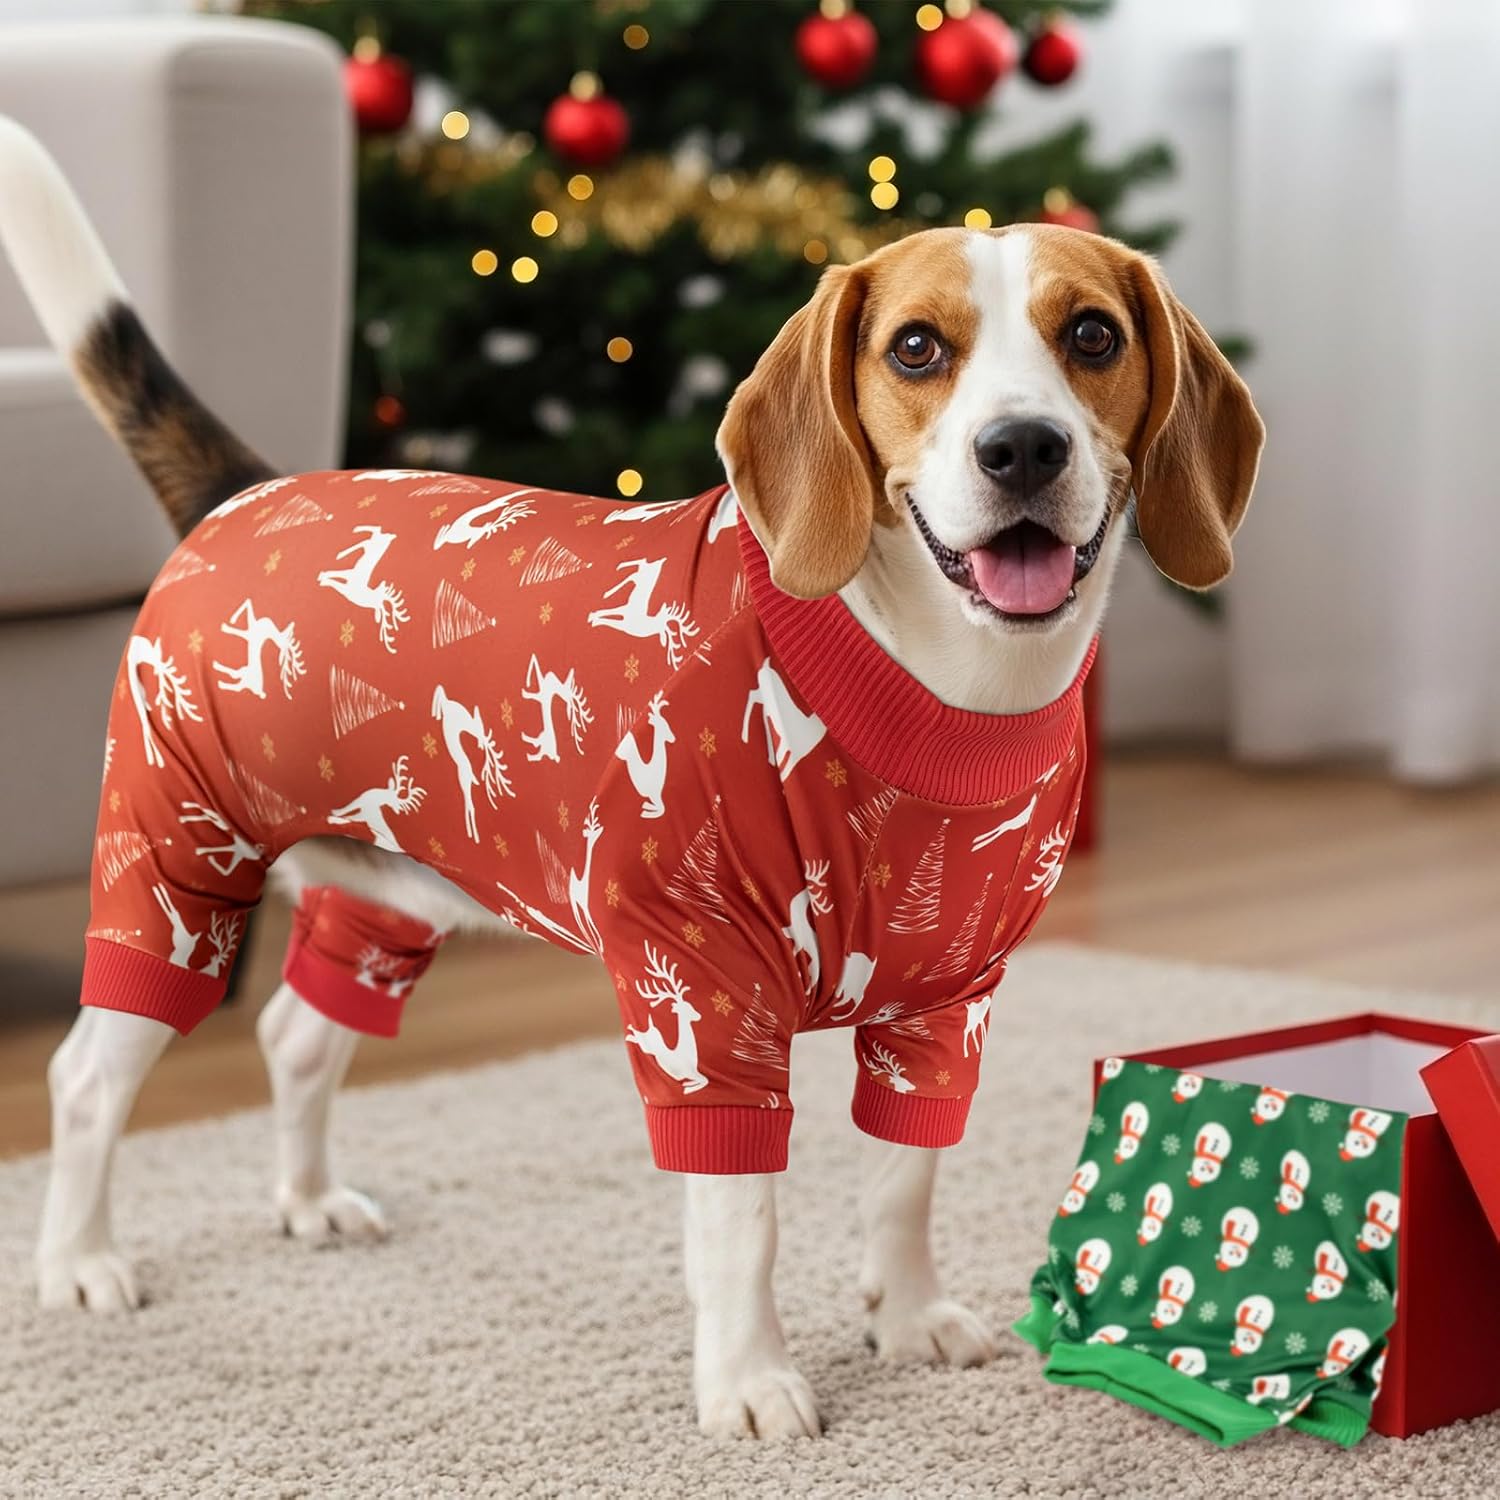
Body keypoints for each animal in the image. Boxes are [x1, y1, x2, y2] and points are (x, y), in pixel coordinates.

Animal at [615, 691, 674, 819]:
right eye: (663, 724)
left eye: (666, 723)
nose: (673, 738)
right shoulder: (655, 794)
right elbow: (661, 809)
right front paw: (646, 810)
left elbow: (660, 809)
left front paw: (646, 808)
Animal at [624, 943, 707, 1095]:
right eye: (686, 1008)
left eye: (690, 1005)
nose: (699, 1016)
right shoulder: (691, 1072)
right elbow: (702, 1080)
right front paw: (688, 1087)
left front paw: (688, 1086)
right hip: (646, 1045)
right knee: (636, 1036)